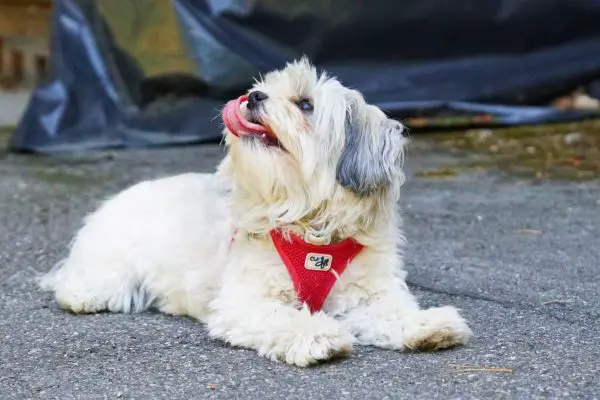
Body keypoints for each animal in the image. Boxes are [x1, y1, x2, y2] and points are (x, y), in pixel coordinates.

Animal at [41, 57, 474, 368]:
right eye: (264, 89)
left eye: (305, 104)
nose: (253, 97)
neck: (309, 224)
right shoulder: (246, 302)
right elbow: (285, 318)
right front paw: (317, 335)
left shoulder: (368, 293)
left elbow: (392, 313)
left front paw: (426, 325)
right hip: (109, 273)